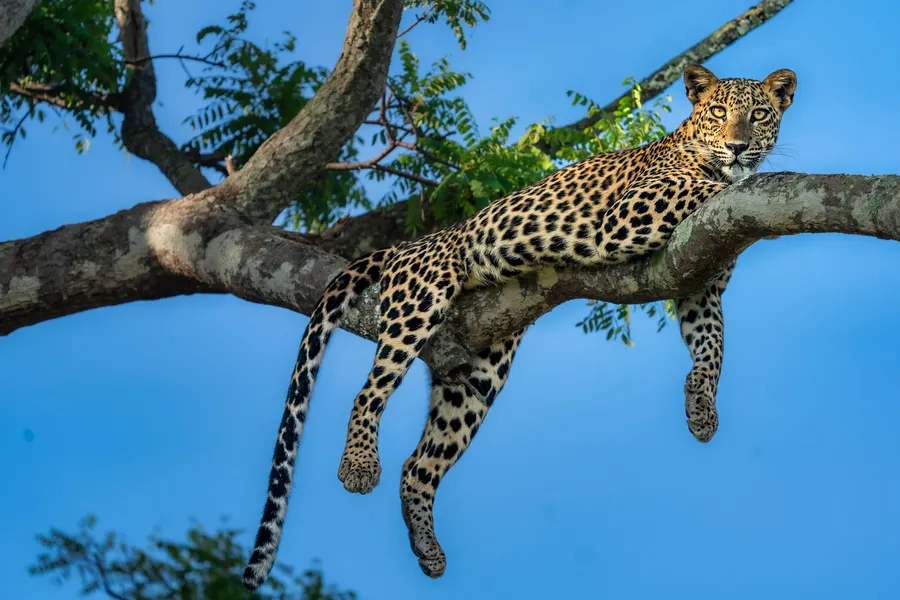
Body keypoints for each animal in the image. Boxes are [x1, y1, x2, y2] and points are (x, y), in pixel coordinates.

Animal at [242, 65, 797, 590]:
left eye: (759, 115)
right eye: (719, 112)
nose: (738, 147)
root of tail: (406, 245)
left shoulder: (699, 283)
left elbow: (713, 347)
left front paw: (702, 408)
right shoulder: (627, 215)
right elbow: (707, 185)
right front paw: (755, 181)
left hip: (479, 373)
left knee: (419, 465)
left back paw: (428, 549)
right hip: (420, 299)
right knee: (369, 390)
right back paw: (358, 466)